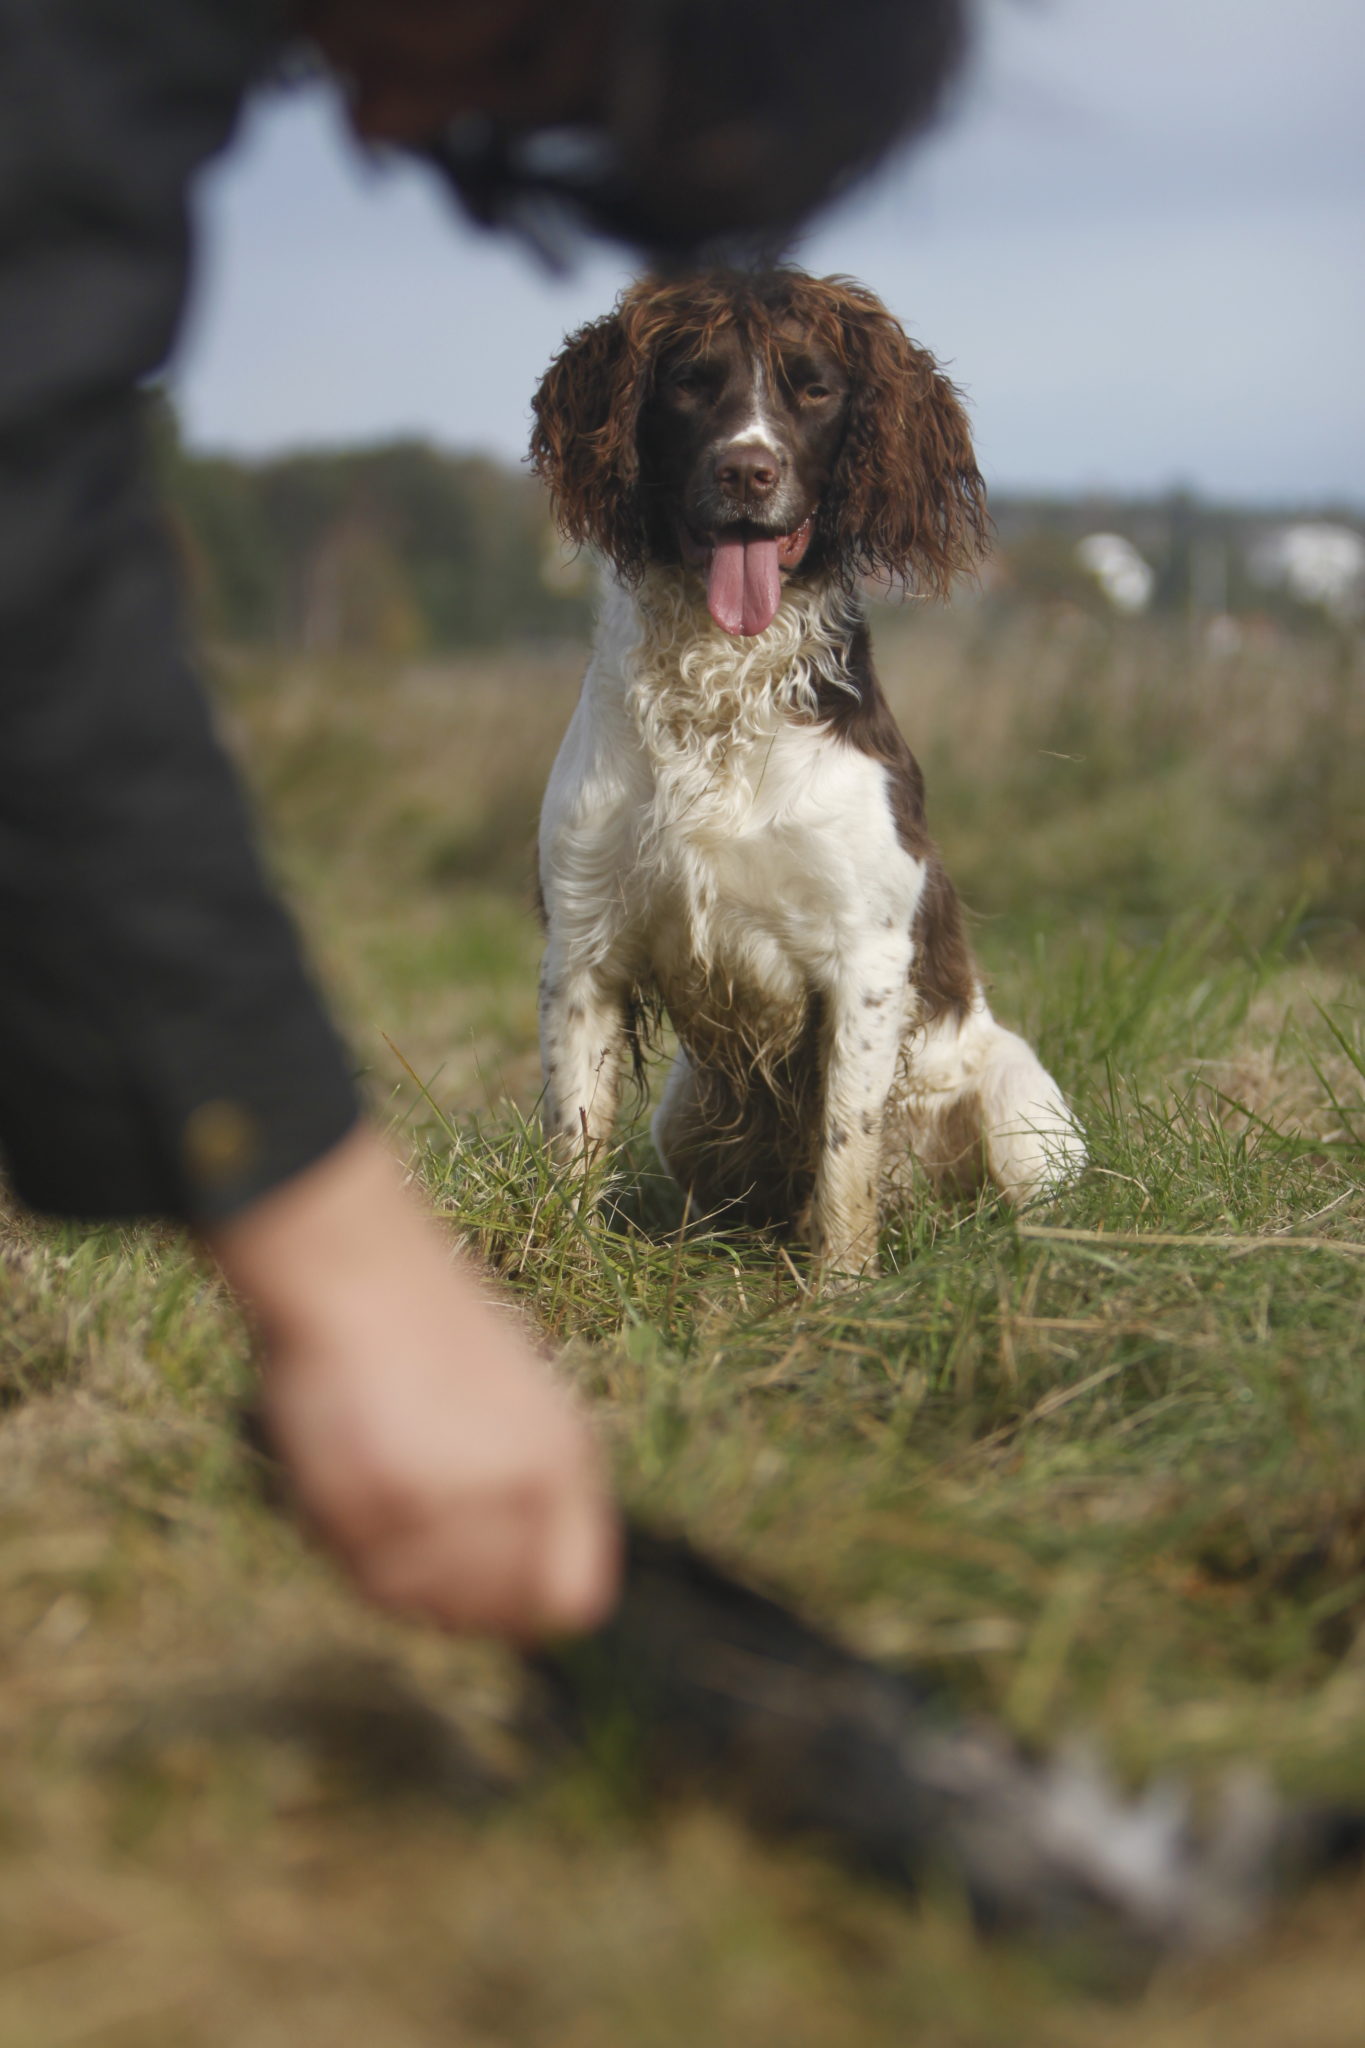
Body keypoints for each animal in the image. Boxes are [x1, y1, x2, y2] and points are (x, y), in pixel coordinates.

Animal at [527, 266, 1080, 1269]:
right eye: (689, 383)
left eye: (814, 389)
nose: (747, 470)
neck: (721, 694)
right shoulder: (582, 946)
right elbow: (572, 1141)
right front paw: (563, 1276)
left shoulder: (863, 953)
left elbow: (845, 1156)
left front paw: (843, 1286)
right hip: (684, 1117)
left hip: (1022, 1111)